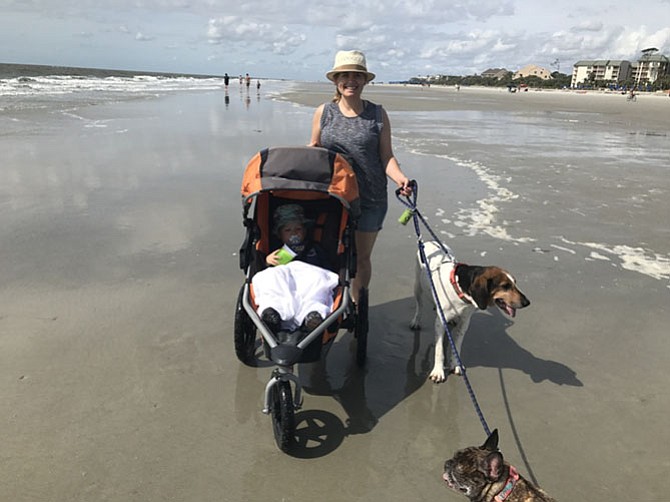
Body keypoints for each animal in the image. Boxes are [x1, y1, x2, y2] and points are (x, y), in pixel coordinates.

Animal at [410, 241, 532, 382]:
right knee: (419, 306)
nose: (527, 302)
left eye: (515, 283)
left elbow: (457, 345)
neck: (459, 287)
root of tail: (429, 241)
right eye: (505, 286)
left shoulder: (465, 322)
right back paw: (416, 321)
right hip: (417, 286)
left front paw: (456, 364)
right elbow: (439, 349)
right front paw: (438, 371)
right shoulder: (440, 322)